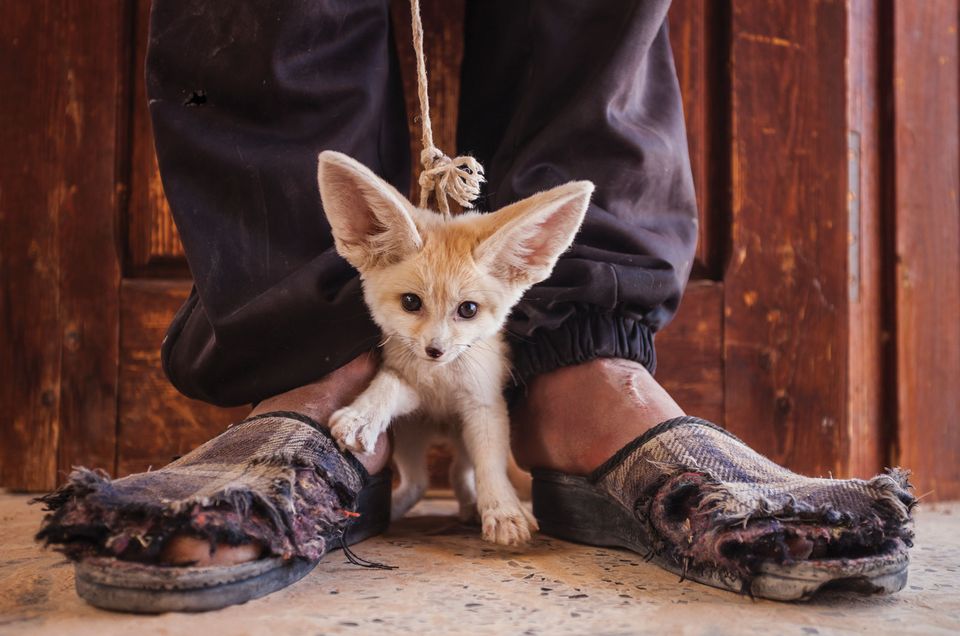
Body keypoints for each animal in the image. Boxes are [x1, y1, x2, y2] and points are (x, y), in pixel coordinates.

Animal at [317, 151, 593, 546]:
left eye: (468, 309)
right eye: (411, 303)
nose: (436, 351)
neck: (441, 384)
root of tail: (442, 430)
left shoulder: (484, 407)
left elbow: (490, 466)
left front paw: (504, 510)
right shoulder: (412, 388)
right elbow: (389, 383)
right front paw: (364, 415)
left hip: (461, 440)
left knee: (459, 474)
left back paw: (471, 507)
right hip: (411, 438)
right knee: (420, 482)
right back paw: (394, 510)